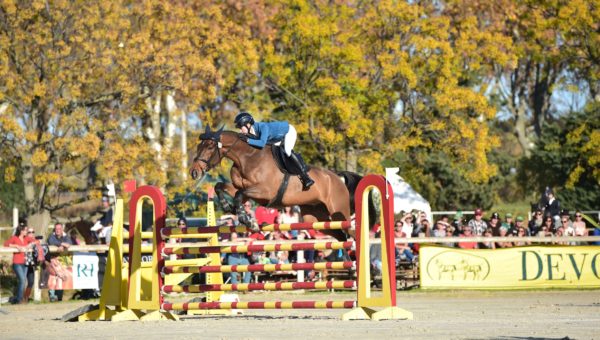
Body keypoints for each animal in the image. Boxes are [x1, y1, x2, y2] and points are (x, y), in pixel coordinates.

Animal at [190, 125, 364, 242]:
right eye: (198, 146)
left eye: (210, 146)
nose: (194, 172)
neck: (246, 158)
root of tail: (337, 177)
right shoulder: (244, 189)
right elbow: (221, 187)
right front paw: (230, 208)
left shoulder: (265, 192)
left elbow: (239, 195)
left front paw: (248, 221)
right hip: (314, 217)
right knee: (341, 236)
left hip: (338, 211)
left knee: (350, 233)